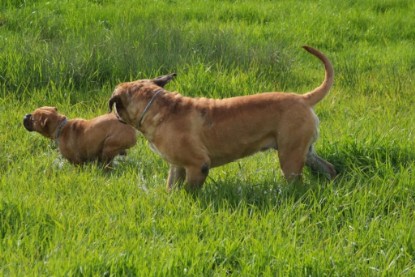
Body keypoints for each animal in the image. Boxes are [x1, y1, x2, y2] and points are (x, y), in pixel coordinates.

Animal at [108, 46, 338, 191]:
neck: (158, 106)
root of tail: (303, 99)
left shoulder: (198, 165)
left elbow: (189, 191)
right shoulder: (177, 166)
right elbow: (171, 187)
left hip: (290, 156)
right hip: (304, 151)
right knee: (328, 168)